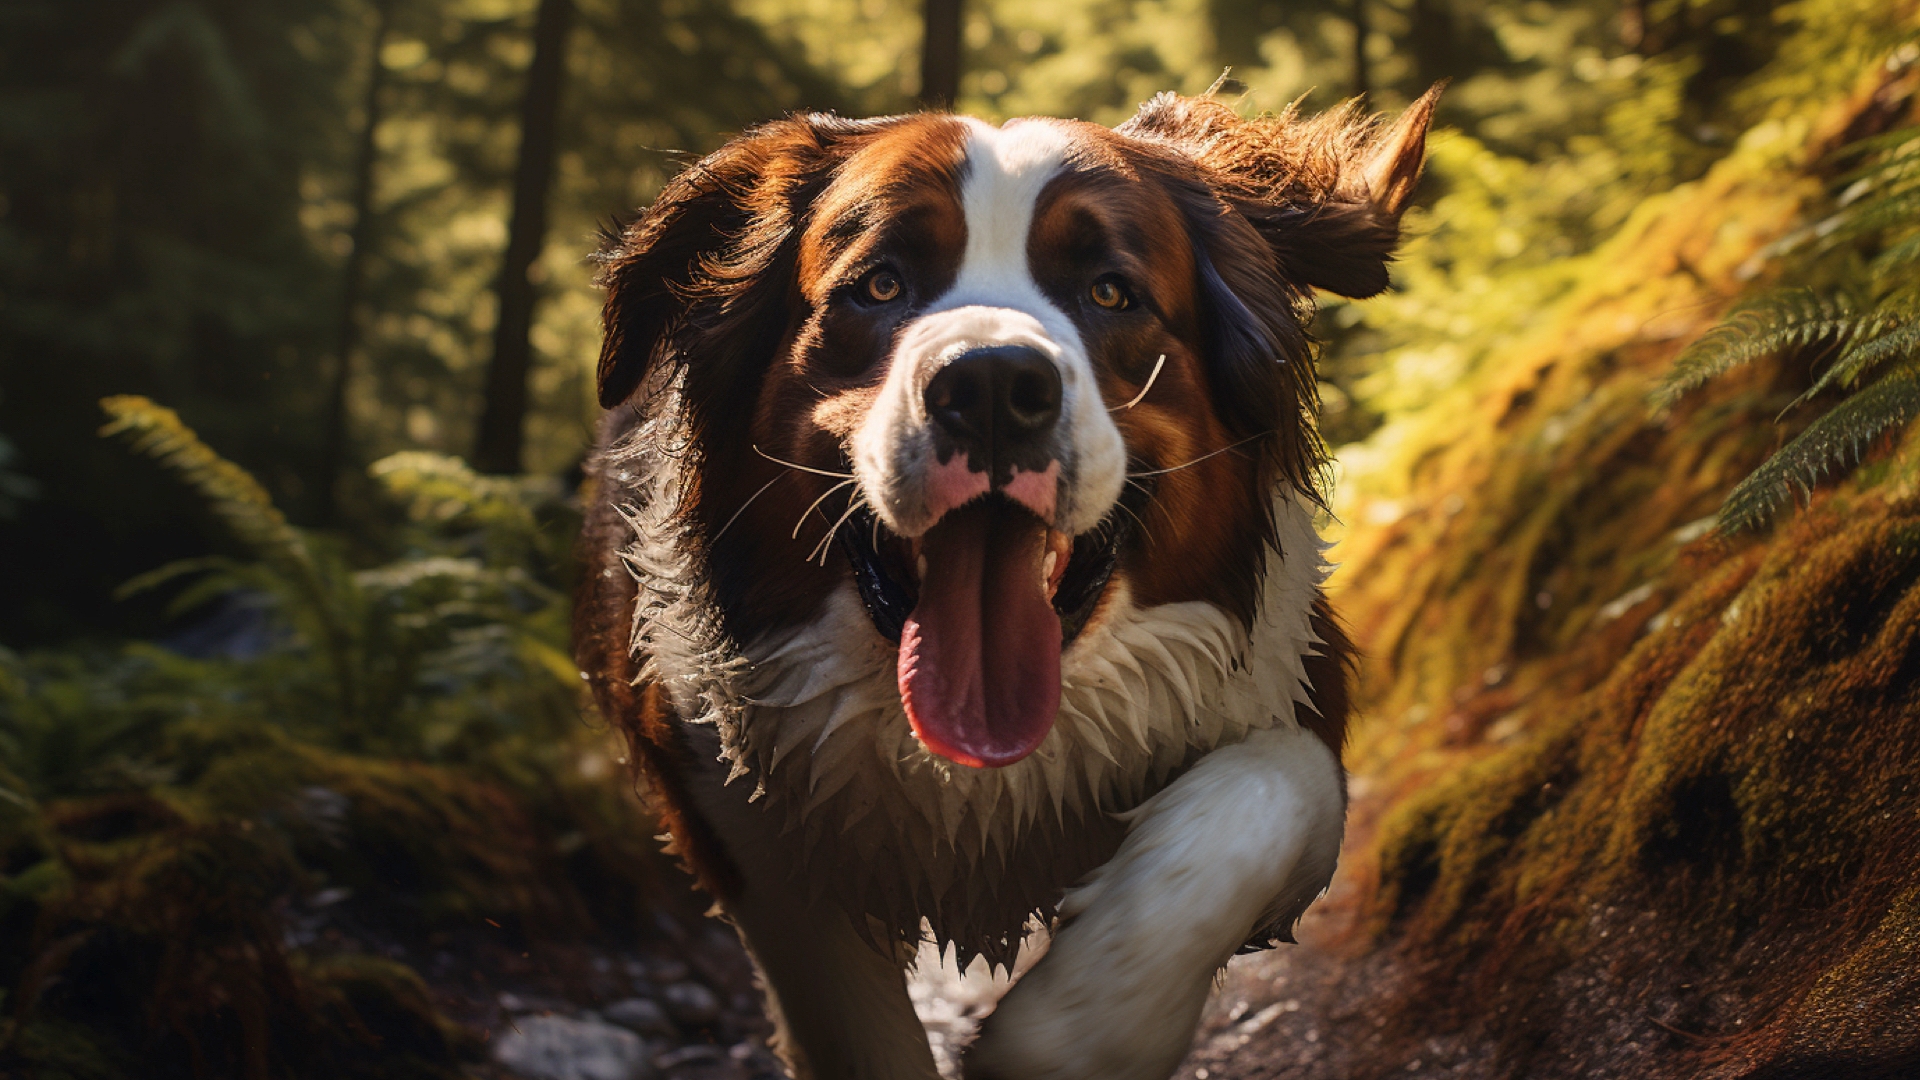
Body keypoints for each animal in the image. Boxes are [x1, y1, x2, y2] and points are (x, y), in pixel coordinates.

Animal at [576, 85, 1436, 1076]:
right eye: (880, 285)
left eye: (1110, 292)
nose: (990, 388)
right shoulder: (725, 780)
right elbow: (844, 1001)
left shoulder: (1287, 679)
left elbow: (1270, 788)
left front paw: (1073, 1033)